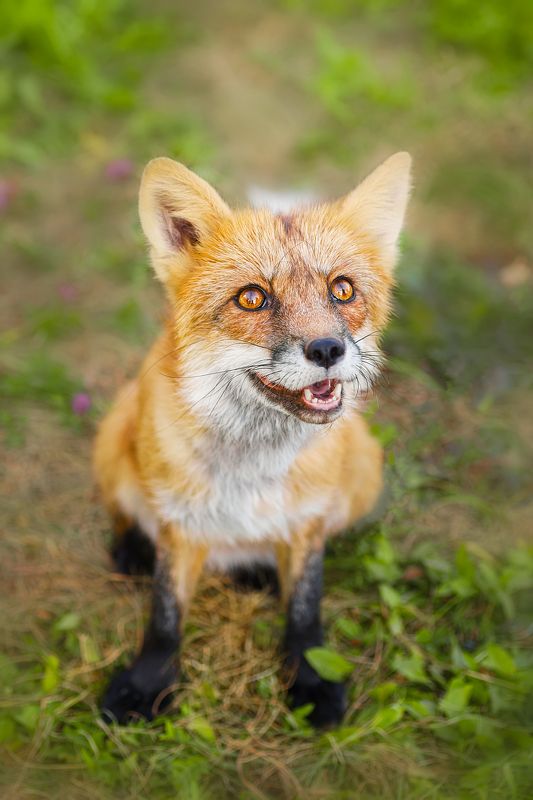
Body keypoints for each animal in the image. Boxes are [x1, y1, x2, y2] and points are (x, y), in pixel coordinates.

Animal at [93, 151, 412, 727]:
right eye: (252, 298)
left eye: (342, 290)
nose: (327, 349)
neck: (251, 471)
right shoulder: (179, 524)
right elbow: (165, 617)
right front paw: (148, 683)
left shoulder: (308, 522)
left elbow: (305, 610)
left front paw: (311, 680)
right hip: (112, 434)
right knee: (125, 510)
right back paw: (133, 550)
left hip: (365, 471)